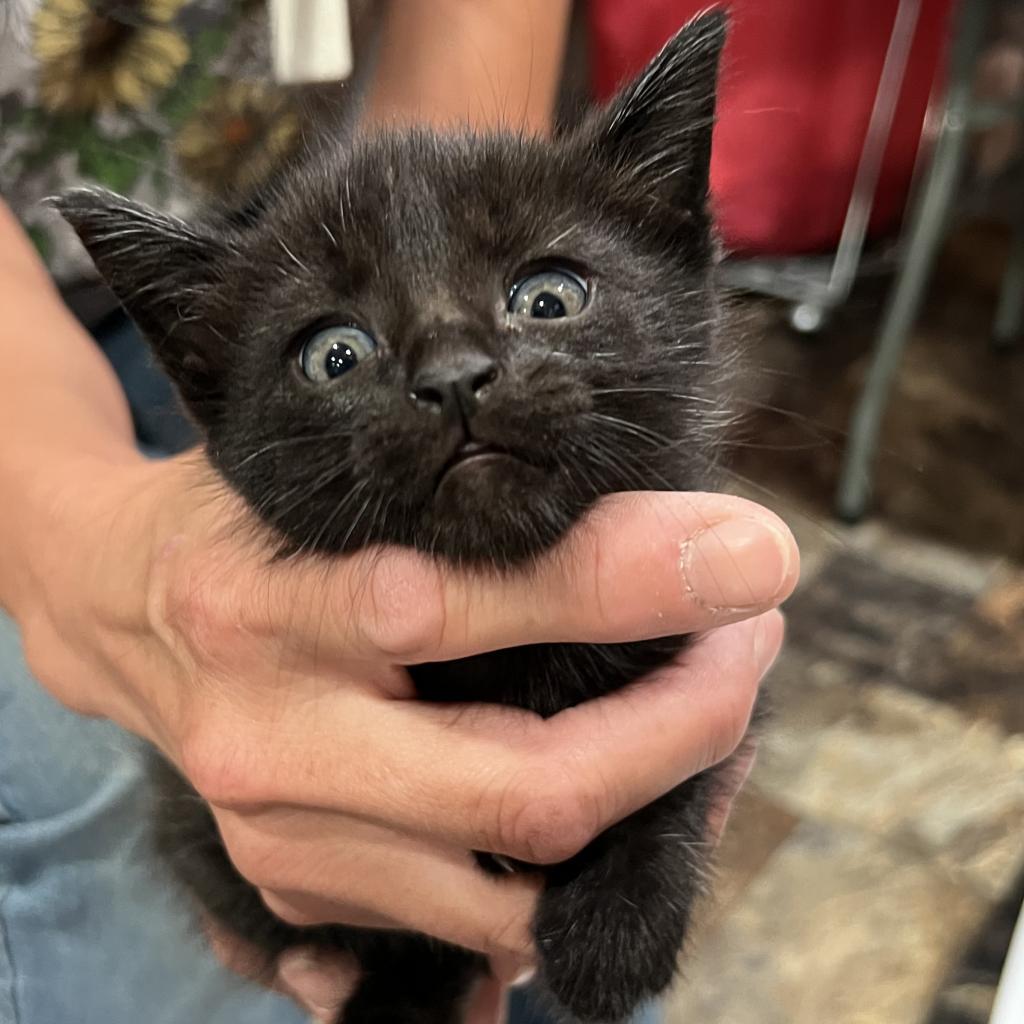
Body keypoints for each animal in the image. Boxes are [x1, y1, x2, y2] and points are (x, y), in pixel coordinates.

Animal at [59, 12, 741, 1019]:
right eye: (334, 355)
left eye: (549, 296)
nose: (454, 375)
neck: (511, 657)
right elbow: (395, 930)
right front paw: (400, 995)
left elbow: (690, 756)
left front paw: (619, 922)